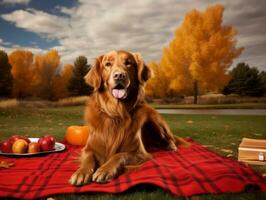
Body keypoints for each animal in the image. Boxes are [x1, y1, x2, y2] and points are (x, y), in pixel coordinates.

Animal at [69, 50, 188, 186]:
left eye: (128, 63)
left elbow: (119, 155)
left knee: (170, 138)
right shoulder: (88, 148)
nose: (119, 75)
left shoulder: (139, 153)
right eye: (108, 64)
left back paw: (170, 146)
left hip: (156, 122)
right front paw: (81, 172)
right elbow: (88, 158)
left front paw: (104, 170)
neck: (116, 113)